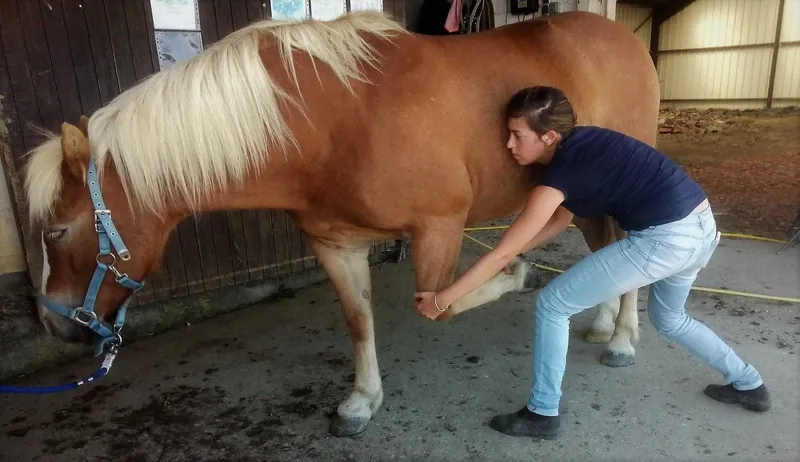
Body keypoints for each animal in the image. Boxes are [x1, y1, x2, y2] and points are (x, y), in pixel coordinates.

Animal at [24, 10, 659, 436]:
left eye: (57, 231)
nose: (54, 325)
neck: (331, 123)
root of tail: (623, 36)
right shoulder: (336, 245)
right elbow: (359, 321)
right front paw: (361, 401)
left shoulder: (439, 227)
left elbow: (441, 302)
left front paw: (519, 272)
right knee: (607, 246)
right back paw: (604, 322)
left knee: (635, 249)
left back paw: (624, 338)